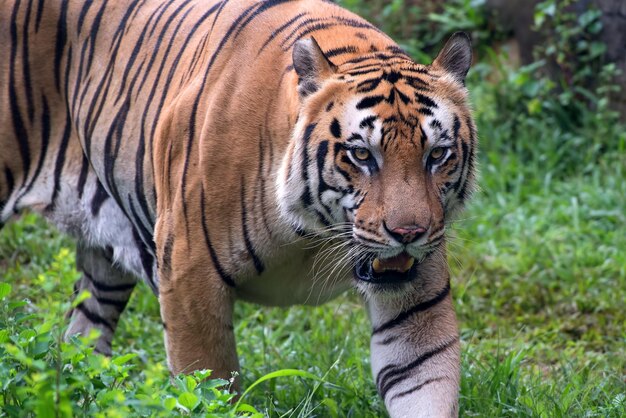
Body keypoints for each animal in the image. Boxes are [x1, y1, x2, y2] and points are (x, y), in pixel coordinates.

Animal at [0, 0, 476, 414]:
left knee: (81, 340)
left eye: (437, 154)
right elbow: (207, 386)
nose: (408, 234)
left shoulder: (416, 304)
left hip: (106, 259)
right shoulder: (188, 275)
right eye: (361, 155)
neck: (314, 235)